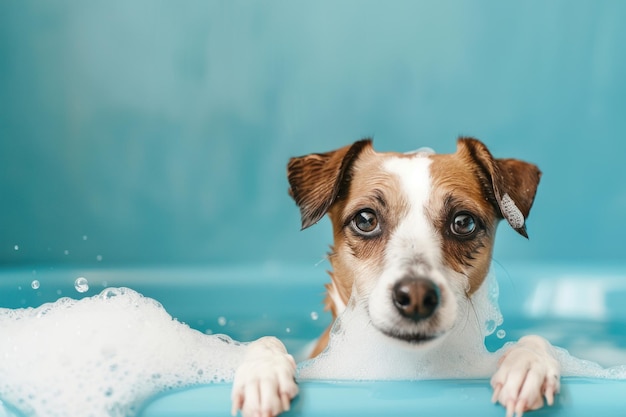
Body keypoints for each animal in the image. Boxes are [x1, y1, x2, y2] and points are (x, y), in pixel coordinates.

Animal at [230, 137, 560, 416]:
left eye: (463, 222)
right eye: (365, 219)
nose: (416, 296)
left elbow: (535, 341)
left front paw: (528, 363)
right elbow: (266, 340)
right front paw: (263, 371)